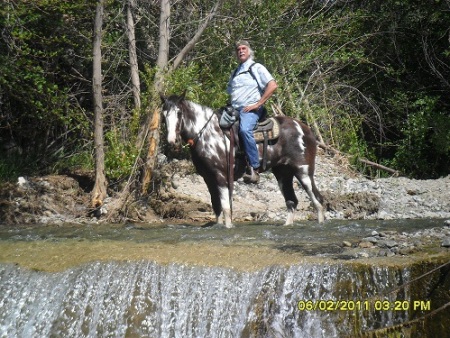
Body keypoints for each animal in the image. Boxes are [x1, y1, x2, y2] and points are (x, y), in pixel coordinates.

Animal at [161, 93, 324, 228]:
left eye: (179, 113)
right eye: (164, 115)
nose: (172, 141)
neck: (207, 134)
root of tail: (305, 129)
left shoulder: (221, 176)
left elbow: (226, 207)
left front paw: (228, 227)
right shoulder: (208, 178)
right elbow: (216, 206)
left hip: (303, 171)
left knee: (317, 200)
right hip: (283, 174)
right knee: (292, 201)